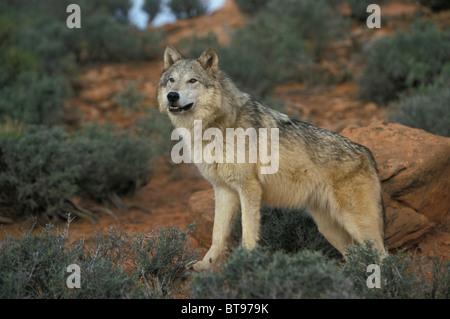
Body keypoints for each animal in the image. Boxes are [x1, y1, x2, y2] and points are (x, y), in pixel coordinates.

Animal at [156, 46, 384, 272]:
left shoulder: (249, 187)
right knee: (357, 257)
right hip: (329, 227)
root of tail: (368, 154)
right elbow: (217, 234)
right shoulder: (224, 189)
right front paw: (204, 265)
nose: (172, 96)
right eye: (171, 80)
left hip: (356, 224)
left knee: (382, 256)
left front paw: (246, 264)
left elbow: (248, 234)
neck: (215, 126)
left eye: (192, 80)